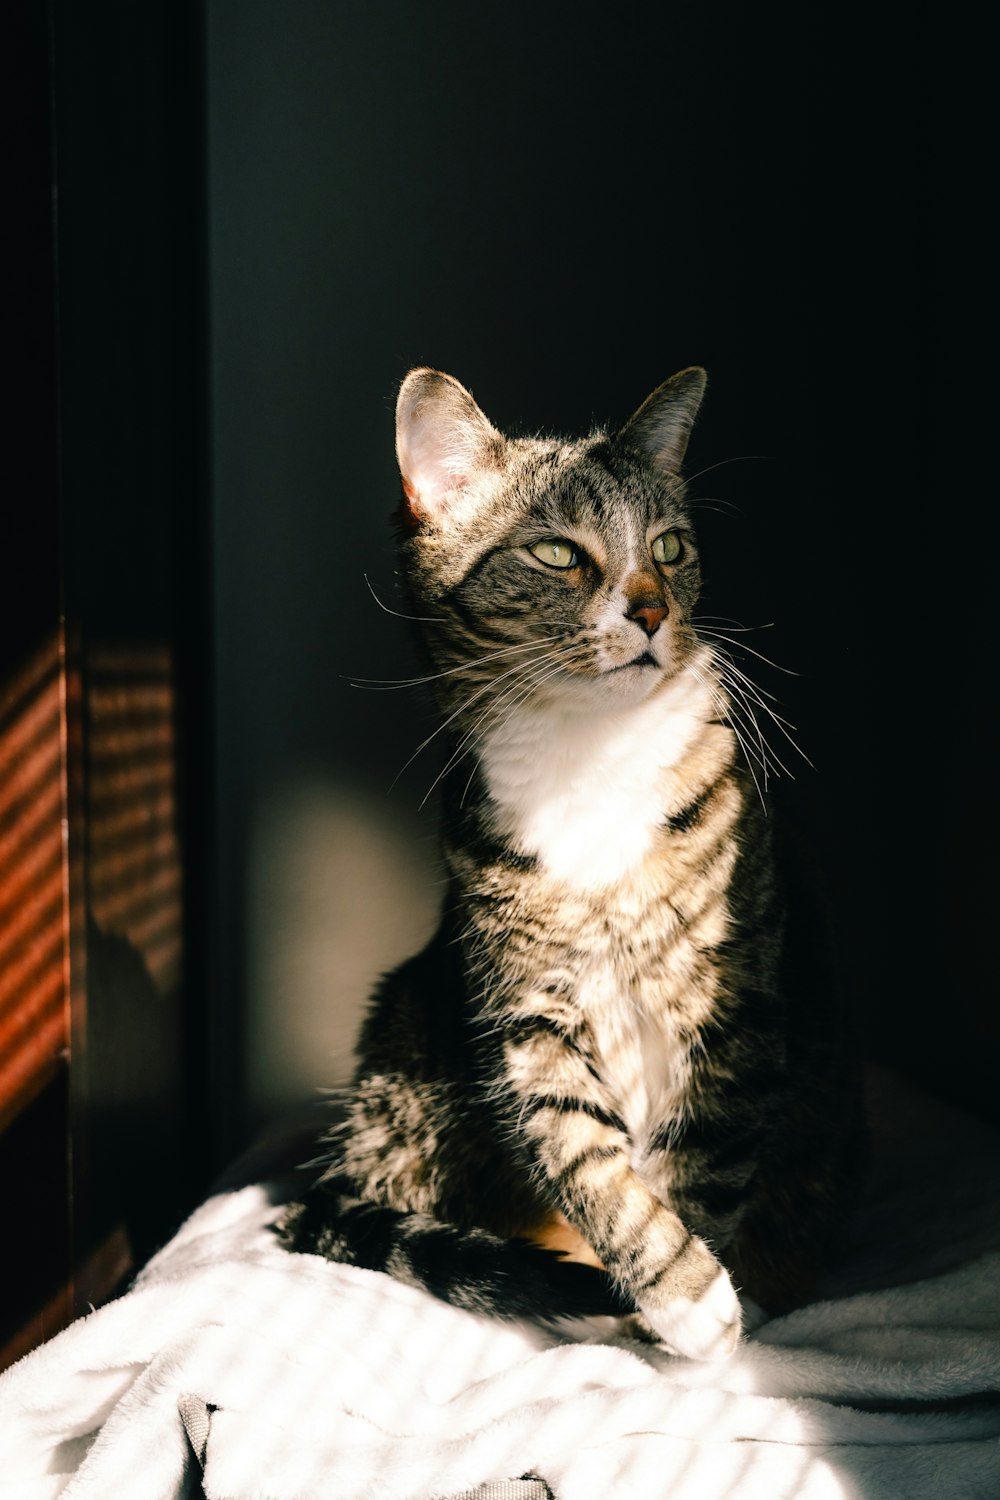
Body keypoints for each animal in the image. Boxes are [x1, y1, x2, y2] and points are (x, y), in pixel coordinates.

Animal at [277, 363, 863, 1362]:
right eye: (557, 554)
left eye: (670, 546)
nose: (654, 609)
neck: (591, 754)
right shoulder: (530, 1016)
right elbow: (585, 1157)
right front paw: (683, 1294)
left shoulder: (733, 1006)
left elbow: (704, 1163)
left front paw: (685, 1316)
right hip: (407, 1044)